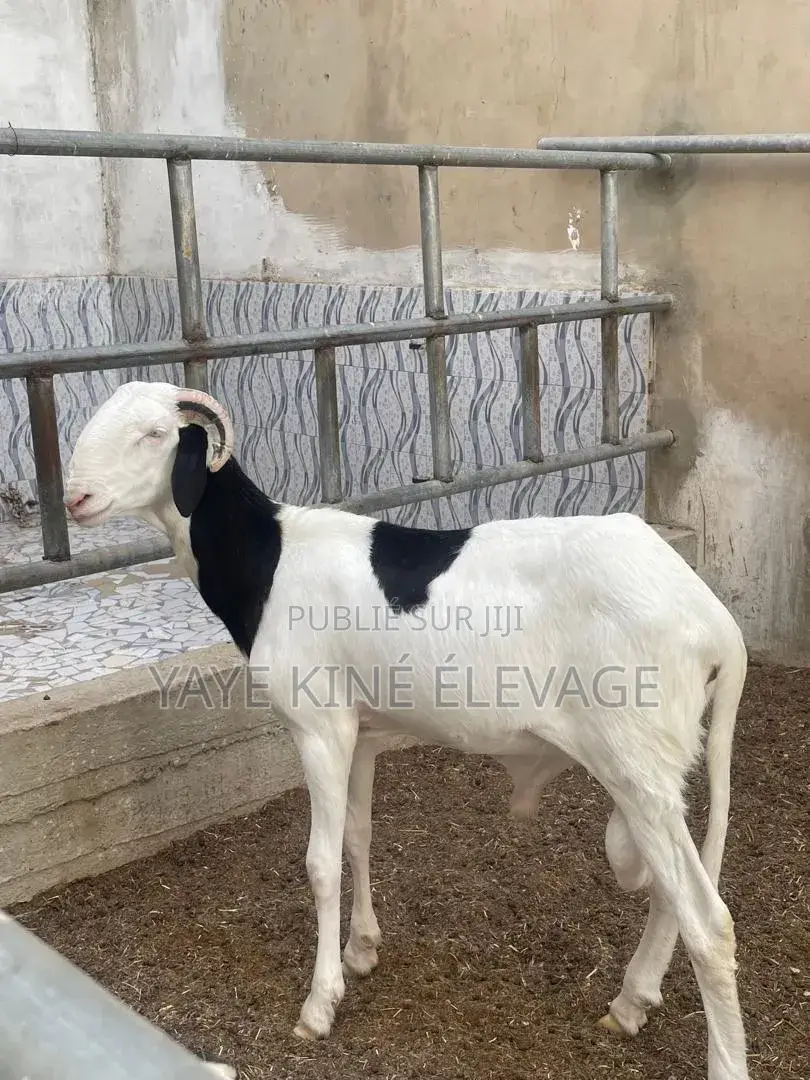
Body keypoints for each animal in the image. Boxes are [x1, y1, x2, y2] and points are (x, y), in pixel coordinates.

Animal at [64, 381, 750, 1080]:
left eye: (154, 434)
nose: (75, 499)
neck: (272, 557)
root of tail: (715, 621)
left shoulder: (319, 728)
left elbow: (318, 862)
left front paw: (319, 1005)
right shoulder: (361, 733)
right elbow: (358, 838)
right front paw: (362, 949)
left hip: (636, 764)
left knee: (709, 921)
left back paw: (718, 1054)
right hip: (650, 771)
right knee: (673, 894)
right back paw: (631, 1003)